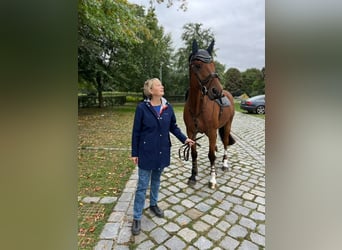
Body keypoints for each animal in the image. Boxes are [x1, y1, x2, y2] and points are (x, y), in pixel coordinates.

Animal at [183, 39, 236, 188]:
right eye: (198, 65)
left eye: (213, 65)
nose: (217, 91)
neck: (197, 108)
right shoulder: (191, 132)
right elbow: (194, 153)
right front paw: (193, 176)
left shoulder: (212, 131)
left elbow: (211, 155)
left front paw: (212, 180)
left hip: (227, 125)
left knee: (225, 143)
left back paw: (224, 164)